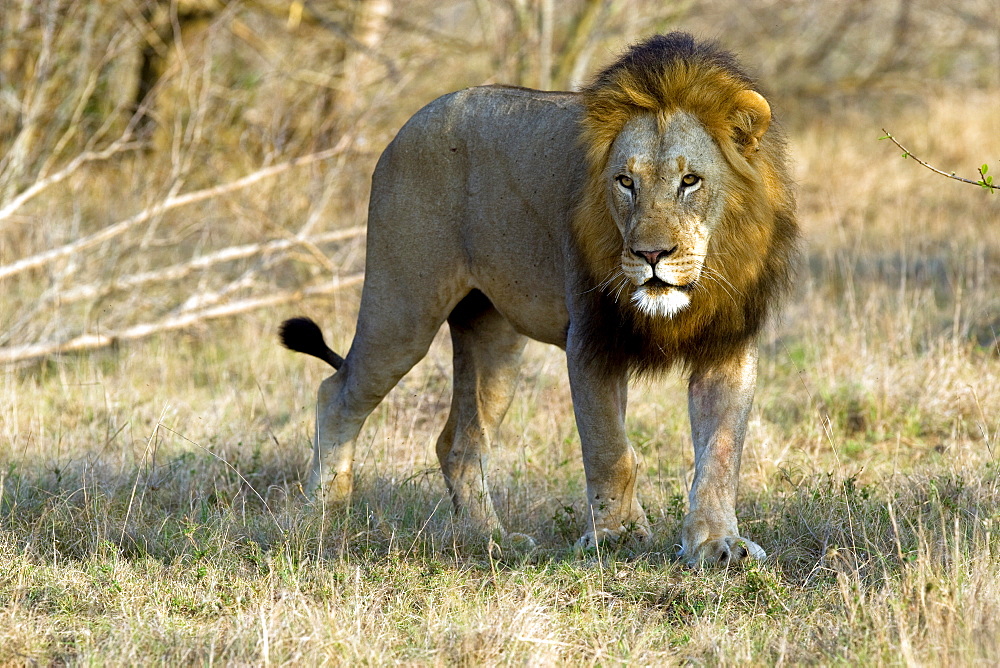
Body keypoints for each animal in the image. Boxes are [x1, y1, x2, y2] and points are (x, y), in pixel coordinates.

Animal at [280, 30, 796, 564]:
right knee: (337, 393)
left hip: (494, 340)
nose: (650, 254)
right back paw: (318, 517)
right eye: (625, 182)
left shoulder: (728, 345)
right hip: (403, 311)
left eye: (689, 180)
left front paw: (717, 542)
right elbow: (610, 450)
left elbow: (720, 454)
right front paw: (615, 536)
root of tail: (408, 126)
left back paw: (489, 537)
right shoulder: (590, 340)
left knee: (459, 443)